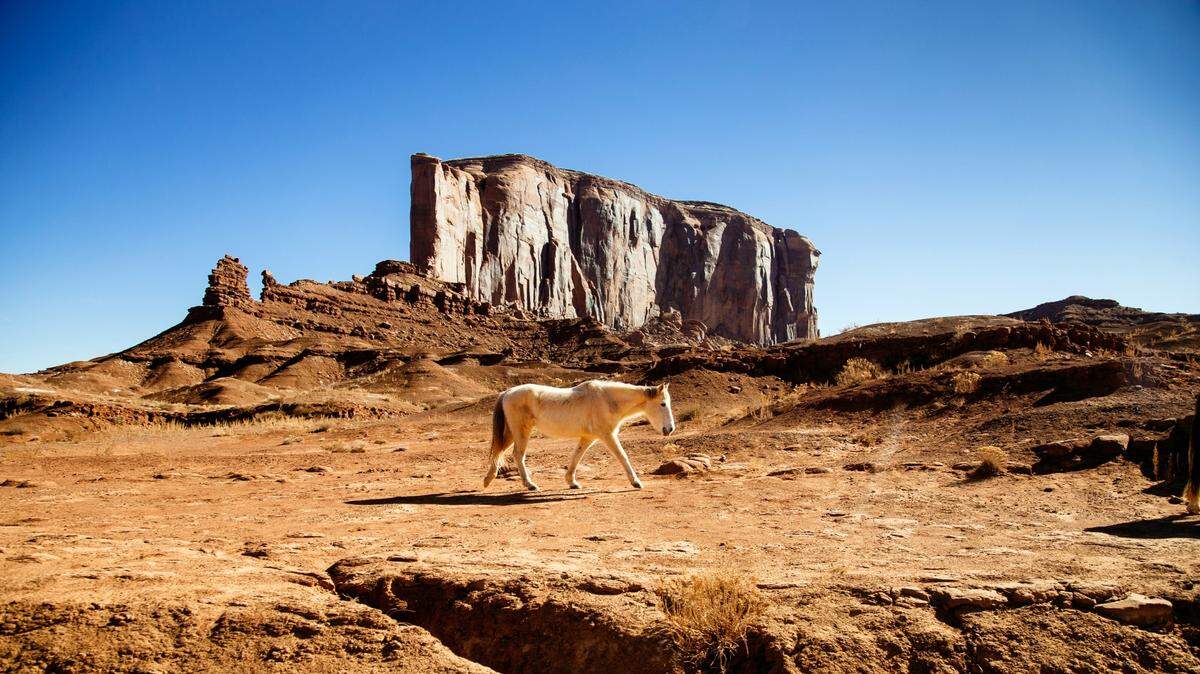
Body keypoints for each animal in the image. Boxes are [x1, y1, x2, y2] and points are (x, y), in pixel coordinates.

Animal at [481, 380, 675, 491]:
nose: (670, 429)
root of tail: (507, 392)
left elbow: (576, 457)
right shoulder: (608, 436)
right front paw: (636, 482)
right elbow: (622, 456)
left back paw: (487, 480)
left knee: (499, 451)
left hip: (511, 433)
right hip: (521, 432)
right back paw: (530, 485)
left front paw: (572, 482)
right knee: (517, 455)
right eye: (663, 404)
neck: (606, 400)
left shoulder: (588, 438)